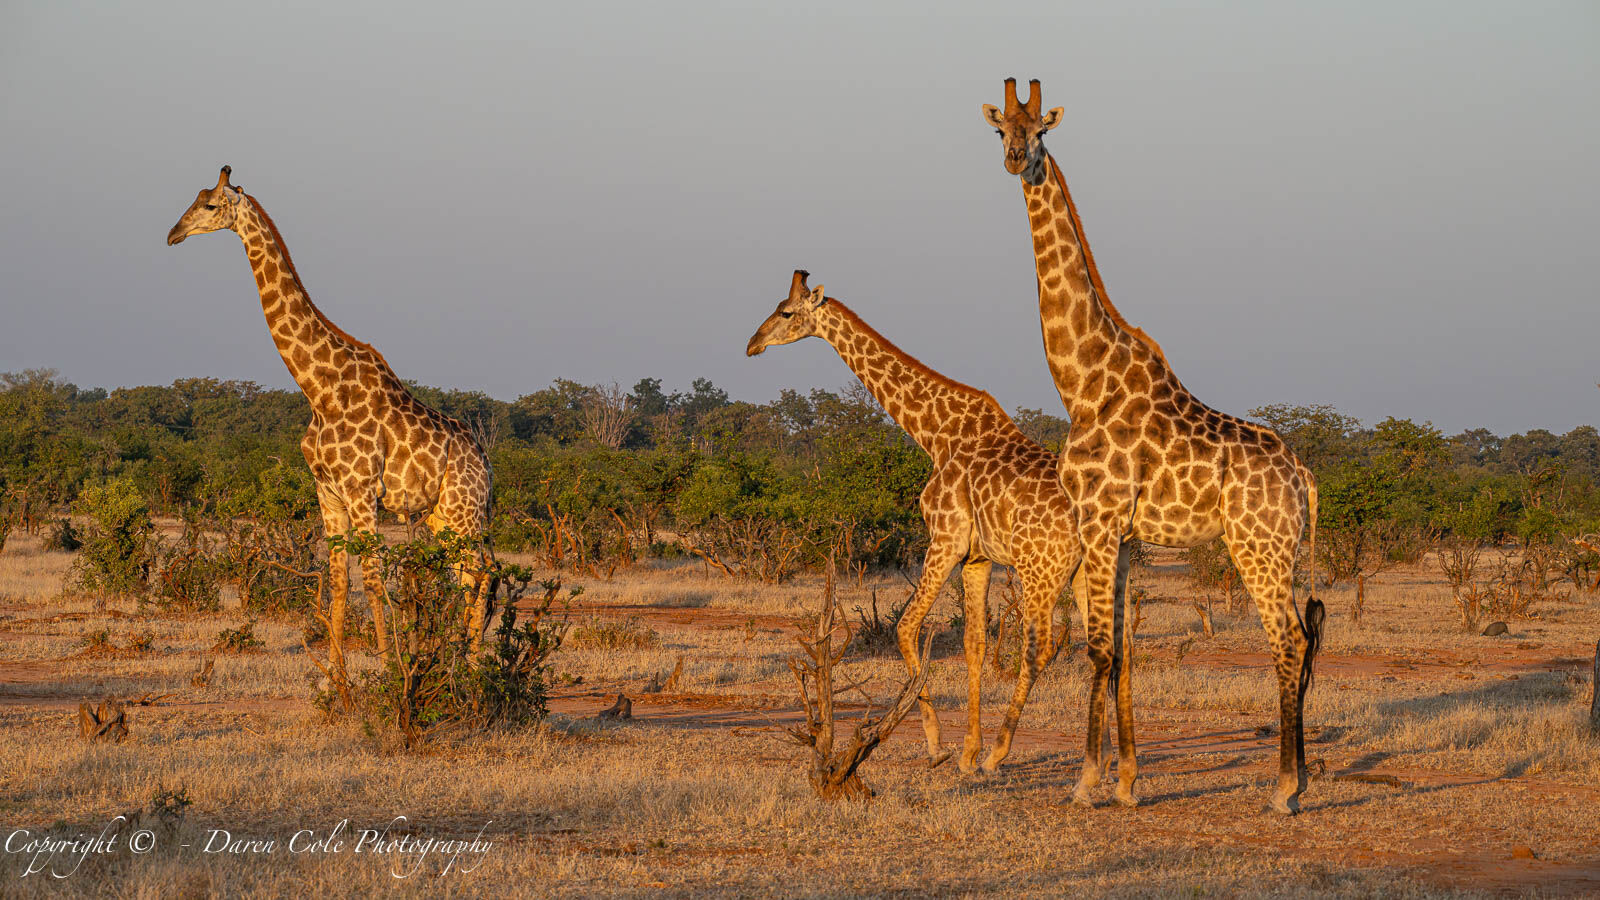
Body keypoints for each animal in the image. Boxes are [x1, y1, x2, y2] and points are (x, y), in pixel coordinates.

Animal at [166, 166, 494, 669]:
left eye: (210, 205)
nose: (173, 234)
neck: (320, 391)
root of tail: (487, 465)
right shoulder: (328, 492)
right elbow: (338, 581)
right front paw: (337, 677)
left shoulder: (362, 491)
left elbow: (374, 579)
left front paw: (388, 669)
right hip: (442, 515)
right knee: (469, 574)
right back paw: (463, 661)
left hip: (465, 508)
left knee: (479, 572)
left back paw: (472, 666)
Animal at [747, 270, 1082, 773]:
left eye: (786, 313)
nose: (752, 343)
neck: (936, 433)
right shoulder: (977, 556)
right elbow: (973, 643)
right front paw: (966, 751)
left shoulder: (945, 539)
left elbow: (905, 627)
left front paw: (938, 744)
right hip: (1086, 572)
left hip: (1039, 570)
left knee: (1038, 647)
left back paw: (1001, 752)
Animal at [983, 79, 1325, 814]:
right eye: (1001, 130)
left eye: (1041, 130)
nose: (1017, 160)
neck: (1081, 383)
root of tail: (1304, 477)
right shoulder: (1121, 532)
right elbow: (1123, 652)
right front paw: (1127, 782)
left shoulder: (1099, 518)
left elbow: (1099, 652)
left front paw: (1085, 783)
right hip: (1276, 549)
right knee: (1301, 641)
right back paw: (1299, 778)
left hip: (1258, 546)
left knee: (1287, 642)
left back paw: (1286, 788)